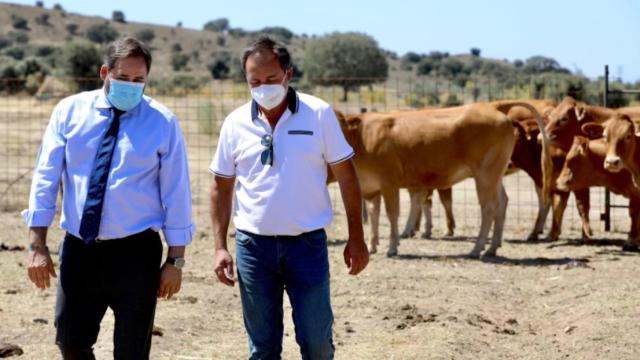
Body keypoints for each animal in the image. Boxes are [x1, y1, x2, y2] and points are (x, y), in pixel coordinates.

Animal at [338, 102, 544, 258]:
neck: (362, 137)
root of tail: (497, 111)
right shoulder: (370, 188)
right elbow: (374, 215)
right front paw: (372, 246)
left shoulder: (390, 183)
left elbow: (391, 214)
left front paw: (392, 247)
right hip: (495, 175)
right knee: (502, 202)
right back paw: (491, 248)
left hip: (485, 175)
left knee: (489, 207)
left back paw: (477, 249)